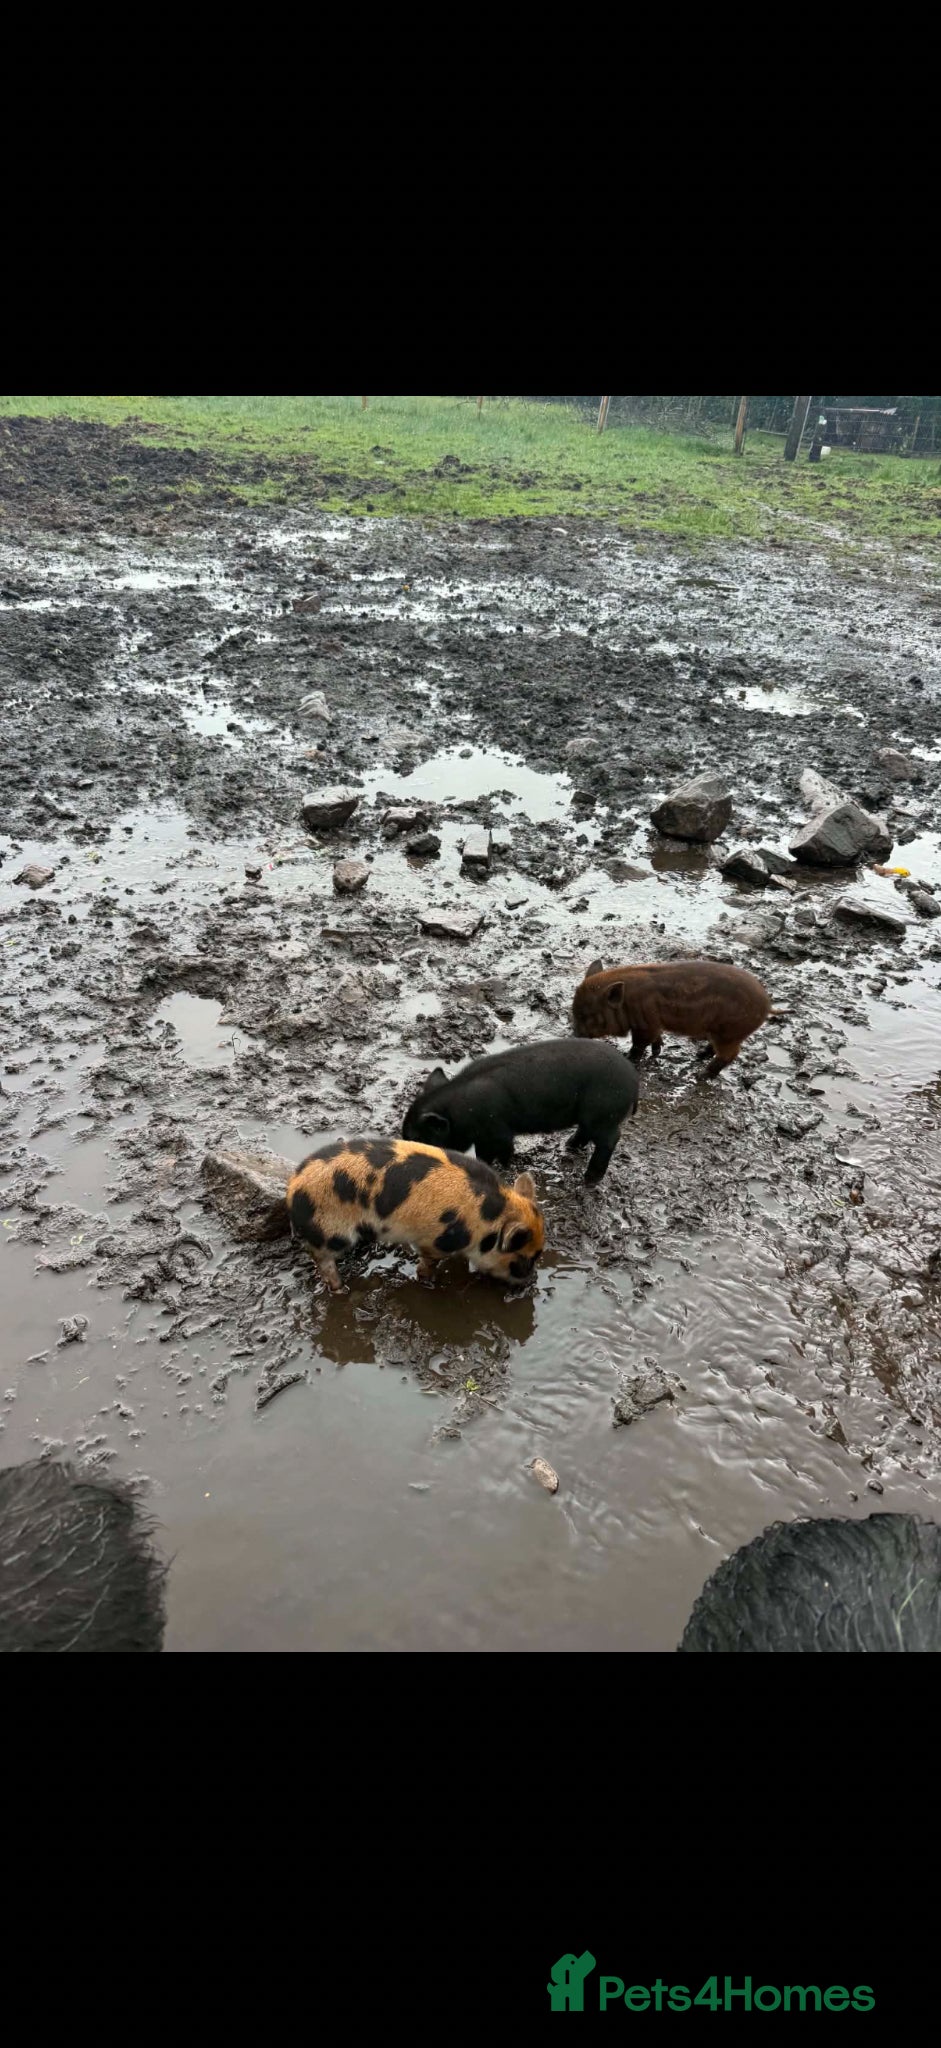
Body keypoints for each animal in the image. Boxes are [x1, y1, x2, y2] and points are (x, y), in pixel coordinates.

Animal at [286, 1137, 544, 1292]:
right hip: (331, 1231)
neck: (486, 1222)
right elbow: (428, 1264)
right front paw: (428, 1283)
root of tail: (293, 1187)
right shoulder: (434, 1242)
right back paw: (340, 1288)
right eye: (522, 1259)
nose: (530, 1282)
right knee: (320, 1258)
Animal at [402, 1039, 638, 1186]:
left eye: (418, 1138)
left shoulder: (495, 1131)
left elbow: (496, 1152)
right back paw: (569, 1146)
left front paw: (502, 1166)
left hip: (603, 1114)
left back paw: (589, 1179)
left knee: (610, 1139)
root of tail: (633, 1080)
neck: (458, 1111)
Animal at [572, 957, 772, 1078]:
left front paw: (629, 1058)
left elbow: (639, 1044)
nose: (574, 1036)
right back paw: (699, 1055)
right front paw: (657, 1051)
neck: (628, 1002)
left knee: (730, 1055)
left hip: (729, 1033)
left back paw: (701, 1075)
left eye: (586, 1015)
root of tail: (767, 1005)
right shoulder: (654, 1025)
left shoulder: (647, 1024)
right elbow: (655, 1039)